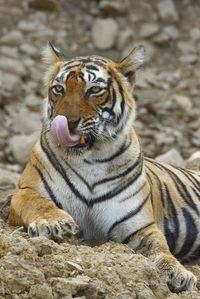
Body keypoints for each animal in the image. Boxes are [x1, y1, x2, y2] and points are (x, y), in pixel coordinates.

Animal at [7, 41, 198, 294]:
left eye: (94, 90)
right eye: (58, 89)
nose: (67, 122)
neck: (91, 159)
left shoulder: (140, 227)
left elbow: (160, 248)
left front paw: (179, 273)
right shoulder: (24, 192)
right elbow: (38, 203)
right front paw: (56, 223)